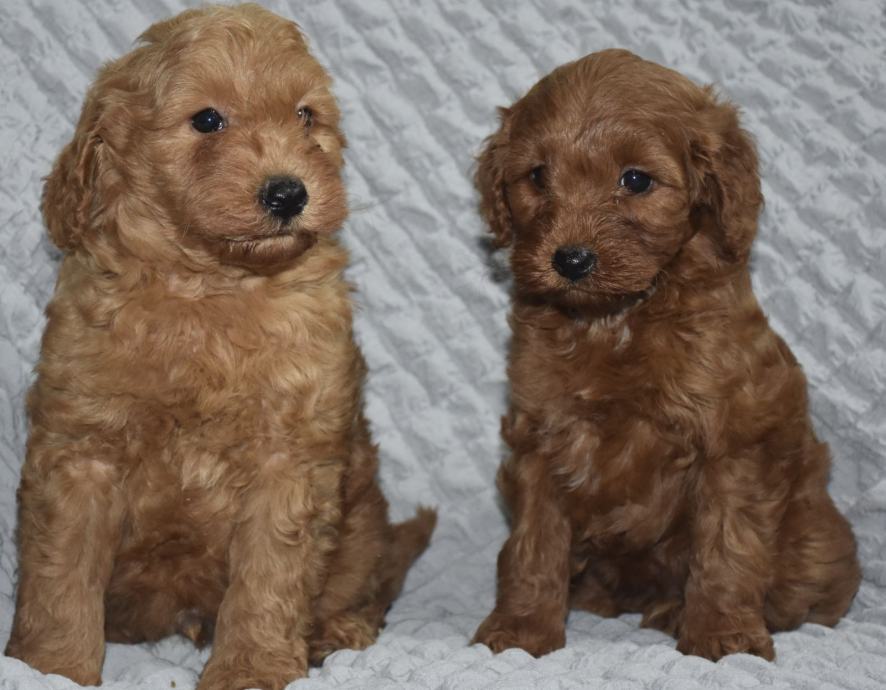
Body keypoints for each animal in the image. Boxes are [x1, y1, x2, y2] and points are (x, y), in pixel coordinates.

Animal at [4, 5, 435, 689]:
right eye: (208, 119)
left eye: (305, 116)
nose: (288, 193)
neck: (209, 287)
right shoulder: (81, 448)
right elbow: (61, 574)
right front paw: (53, 666)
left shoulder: (289, 459)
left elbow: (267, 579)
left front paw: (250, 667)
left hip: (362, 527)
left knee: (363, 585)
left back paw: (337, 632)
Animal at [472, 49, 859, 661]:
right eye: (536, 176)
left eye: (635, 180)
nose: (571, 259)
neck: (615, 319)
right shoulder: (540, 433)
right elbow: (532, 543)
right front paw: (521, 628)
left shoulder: (731, 441)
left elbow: (727, 545)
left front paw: (722, 633)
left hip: (811, 542)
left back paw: (680, 610)